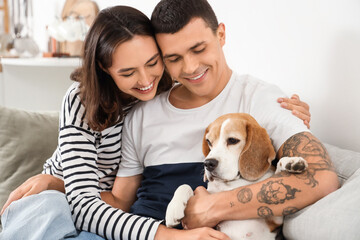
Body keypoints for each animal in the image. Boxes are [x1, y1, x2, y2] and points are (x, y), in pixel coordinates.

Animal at [165, 113, 306, 240]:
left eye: (232, 140)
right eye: (209, 142)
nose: (208, 163)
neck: (233, 182)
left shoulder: (274, 218)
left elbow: (277, 170)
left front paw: (290, 163)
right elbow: (184, 185)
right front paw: (174, 208)